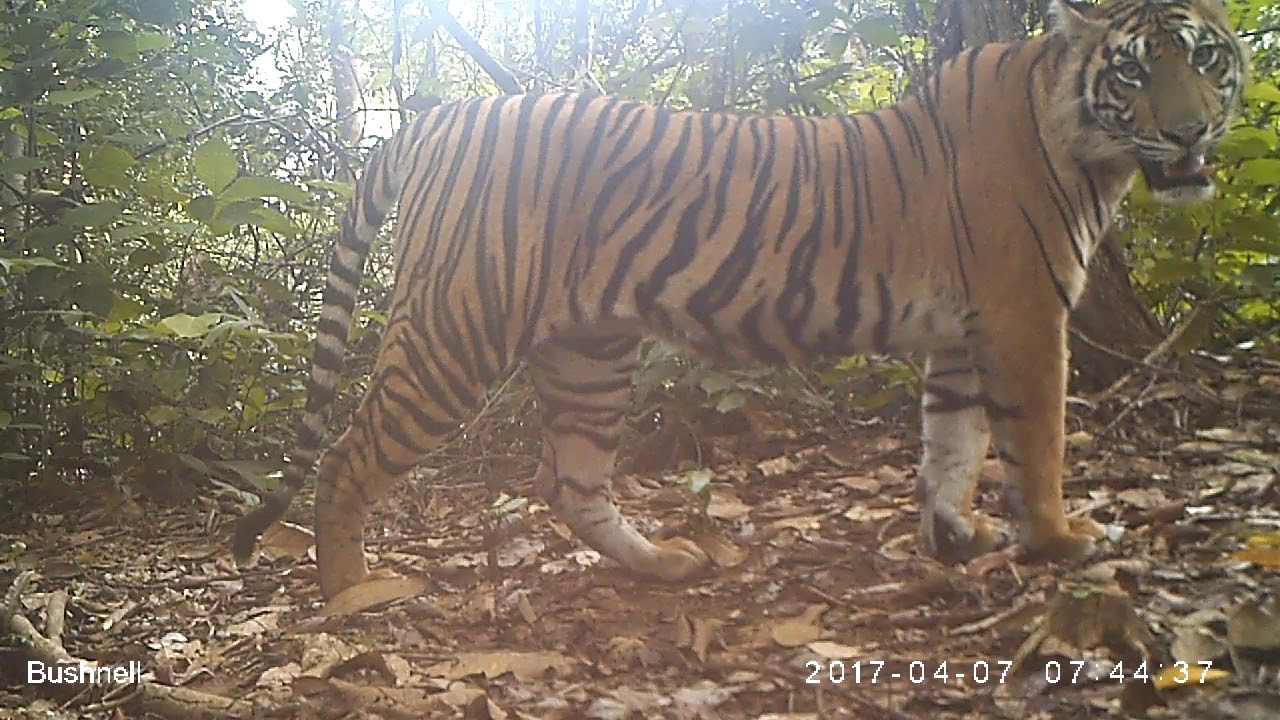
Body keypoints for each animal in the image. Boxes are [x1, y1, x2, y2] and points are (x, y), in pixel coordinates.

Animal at [233, 0, 1248, 599]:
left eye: (1208, 59)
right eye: (1133, 71)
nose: (1190, 132)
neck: (1085, 137)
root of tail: (441, 113)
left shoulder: (962, 336)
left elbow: (951, 444)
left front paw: (957, 538)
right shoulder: (1024, 317)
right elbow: (1036, 441)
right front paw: (1061, 538)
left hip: (590, 352)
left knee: (569, 480)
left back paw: (664, 564)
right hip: (457, 331)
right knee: (348, 456)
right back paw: (353, 592)